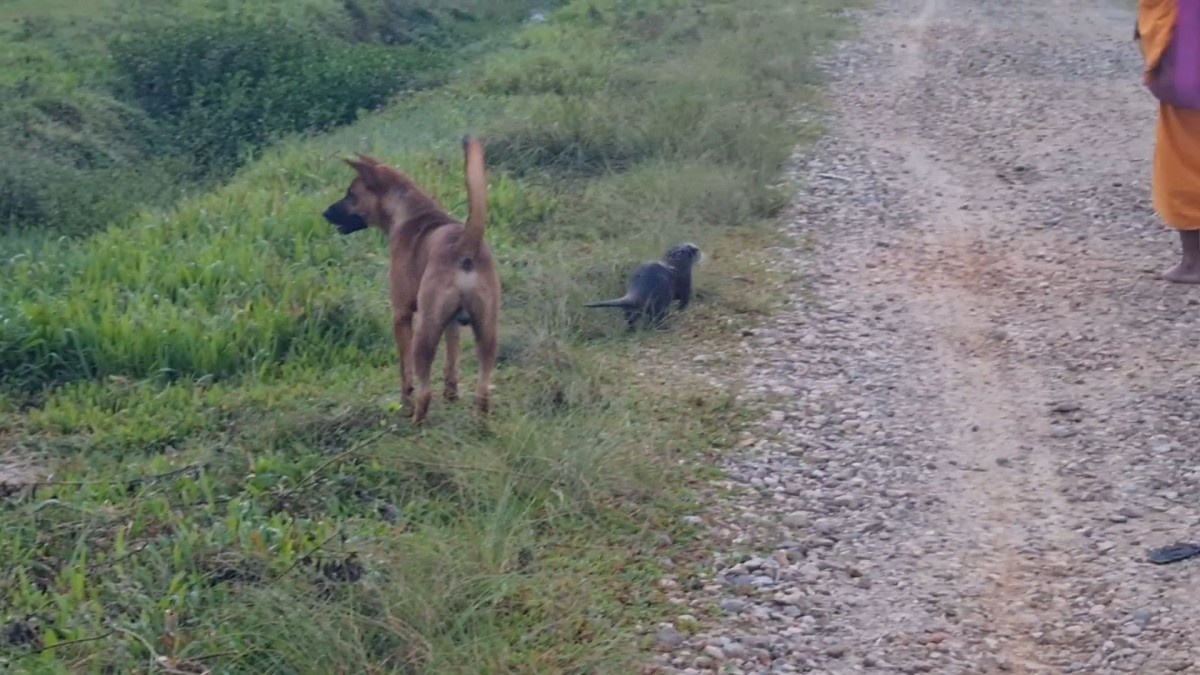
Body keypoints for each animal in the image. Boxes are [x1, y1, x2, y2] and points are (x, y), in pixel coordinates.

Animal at [321, 133, 499, 422]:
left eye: (351, 195)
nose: (324, 213)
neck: (409, 212)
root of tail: (465, 244)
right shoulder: (451, 323)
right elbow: (452, 360)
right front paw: (451, 395)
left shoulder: (401, 314)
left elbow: (405, 372)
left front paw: (404, 401)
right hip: (487, 330)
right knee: (483, 390)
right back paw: (481, 423)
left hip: (424, 333)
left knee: (424, 390)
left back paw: (416, 419)